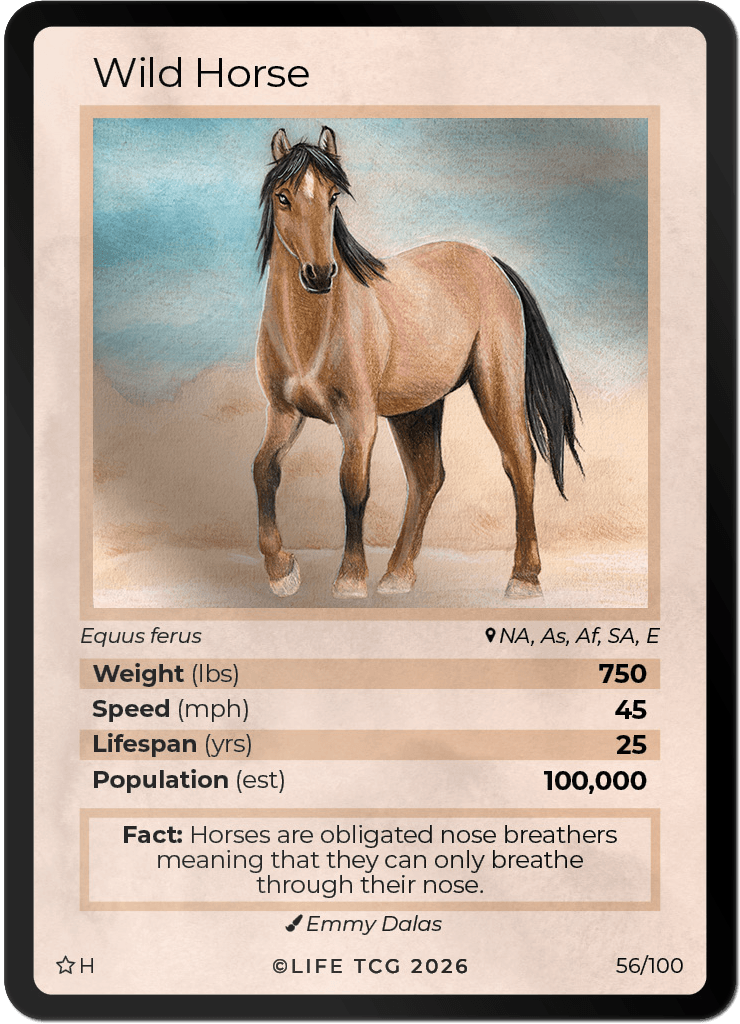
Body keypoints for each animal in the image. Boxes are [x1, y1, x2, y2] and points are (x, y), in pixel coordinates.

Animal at [252, 126, 582, 600]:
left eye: (333, 197)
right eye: (283, 197)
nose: (320, 274)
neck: (310, 335)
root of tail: (491, 263)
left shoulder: (358, 419)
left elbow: (353, 485)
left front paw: (350, 577)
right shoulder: (283, 412)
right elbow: (265, 471)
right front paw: (282, 571)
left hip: (496, 387)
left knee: (519, 461)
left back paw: (523, 578)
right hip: (417, 410)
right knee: (427, 479)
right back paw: (398, 574)